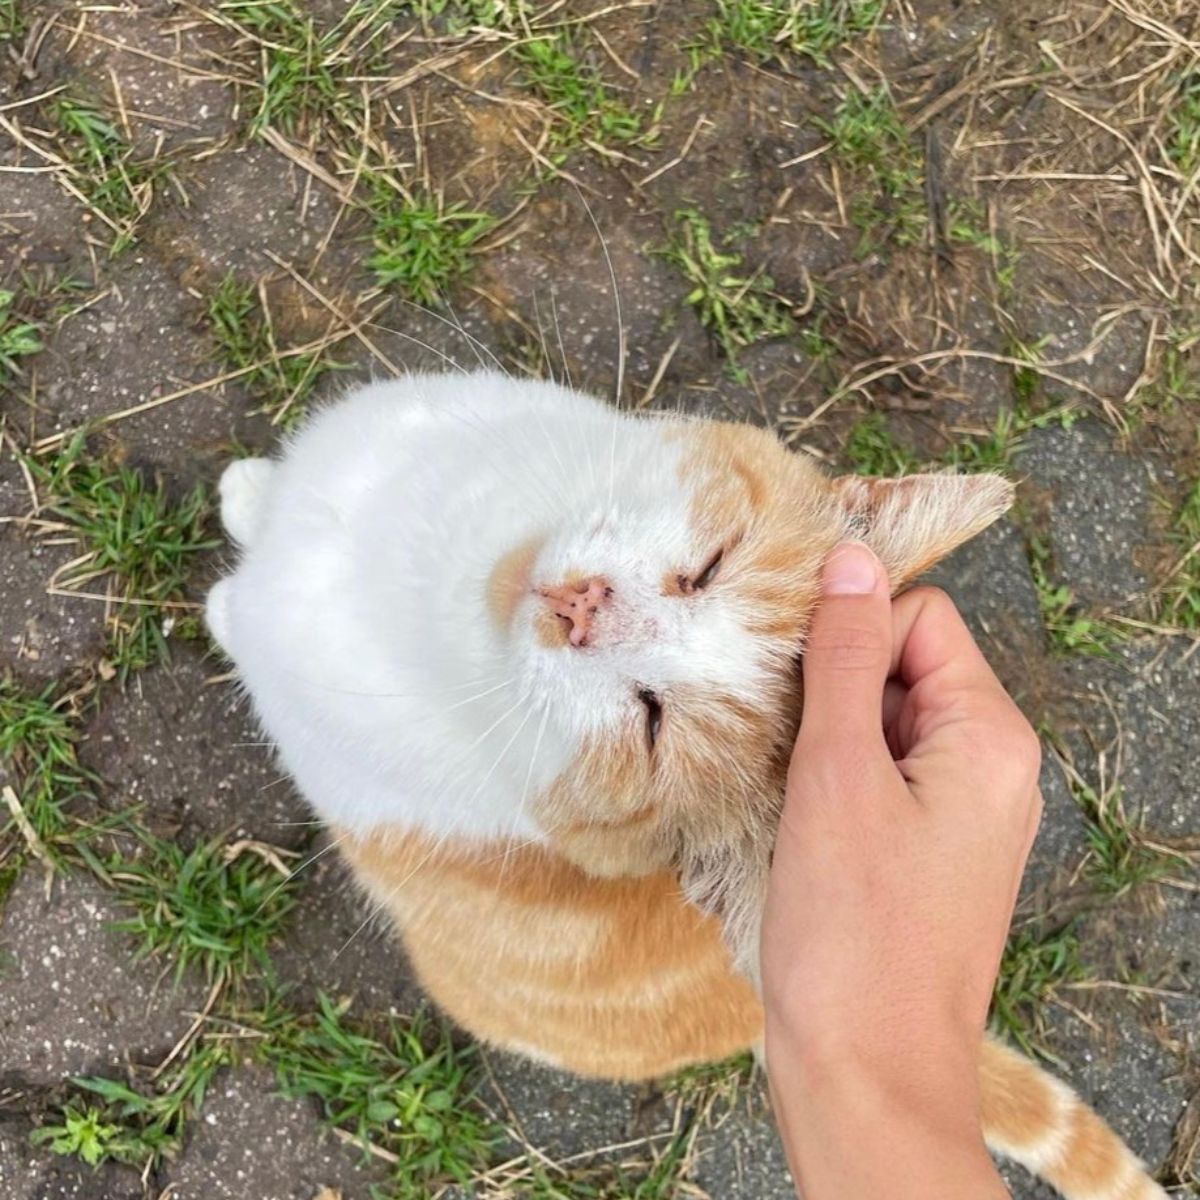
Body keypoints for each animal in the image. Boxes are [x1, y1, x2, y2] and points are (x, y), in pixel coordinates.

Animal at [208, 372, 1171, 1200]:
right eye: (710, 566)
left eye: (650, 723)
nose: (583, 608)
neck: (454, 567)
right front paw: (251, 491)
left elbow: (242, 613)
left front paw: (224, 583)